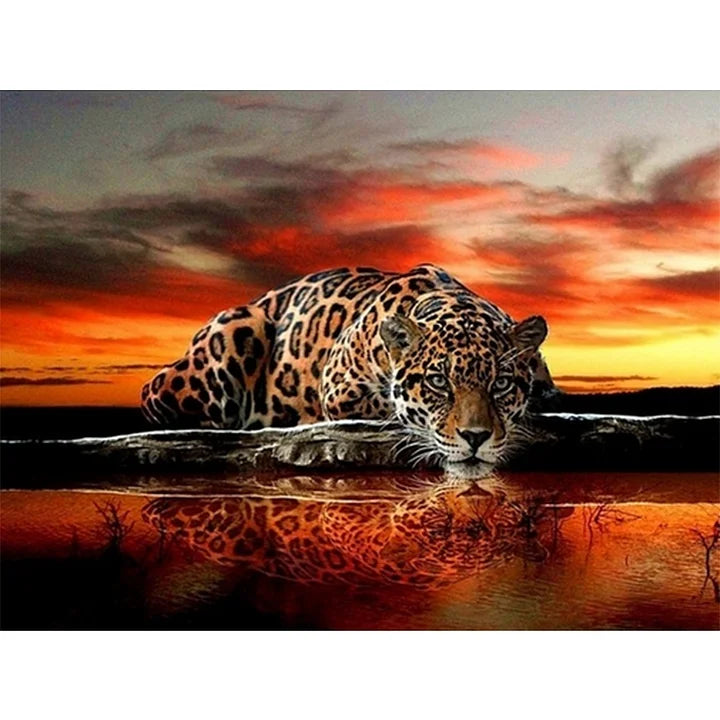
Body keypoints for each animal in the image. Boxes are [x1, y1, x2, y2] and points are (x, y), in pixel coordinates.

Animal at [141, 263, 553, 465]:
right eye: (438, 382)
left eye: (501, 384)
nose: (475, 438)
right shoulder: (339, 388)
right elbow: (389, 405)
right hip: (236, 329)